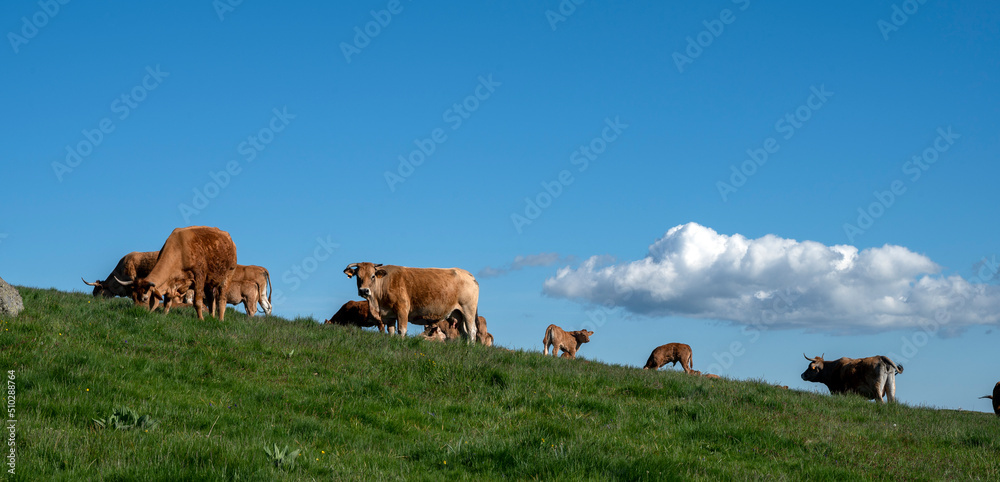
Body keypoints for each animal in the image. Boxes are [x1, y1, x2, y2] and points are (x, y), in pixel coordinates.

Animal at [344, 262, 480, 340]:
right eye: (358, 276)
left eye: (373, 276)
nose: (364, 290)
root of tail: (468, 275)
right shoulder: (389, 315)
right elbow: (391, 331)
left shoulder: (402, 309)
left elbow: (402, 330)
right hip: (458, 314)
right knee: (465, 332)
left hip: (468, 310)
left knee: (472, 331)